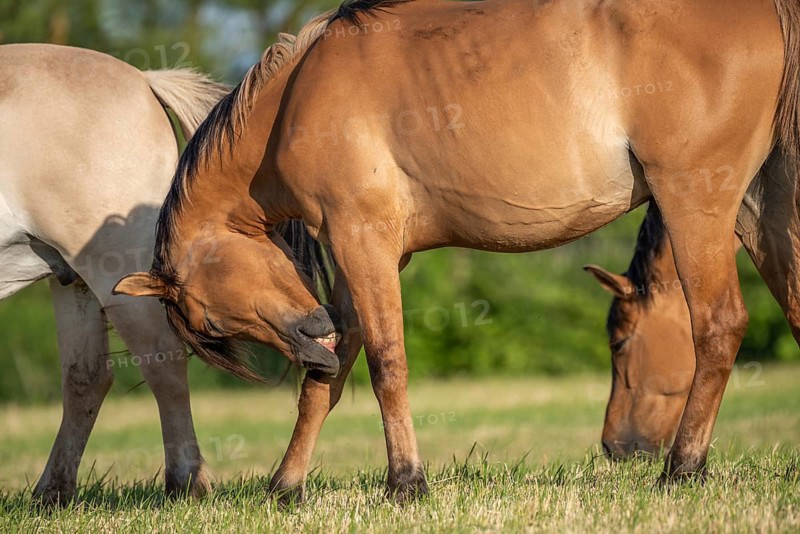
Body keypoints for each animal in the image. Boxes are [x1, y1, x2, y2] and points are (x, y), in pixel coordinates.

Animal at [0, 43, 227, 504]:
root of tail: (143, 79)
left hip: (113, 271)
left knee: (163, 362)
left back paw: (186, 482)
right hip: (73, 279)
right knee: (86, 379)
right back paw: (52, 493)